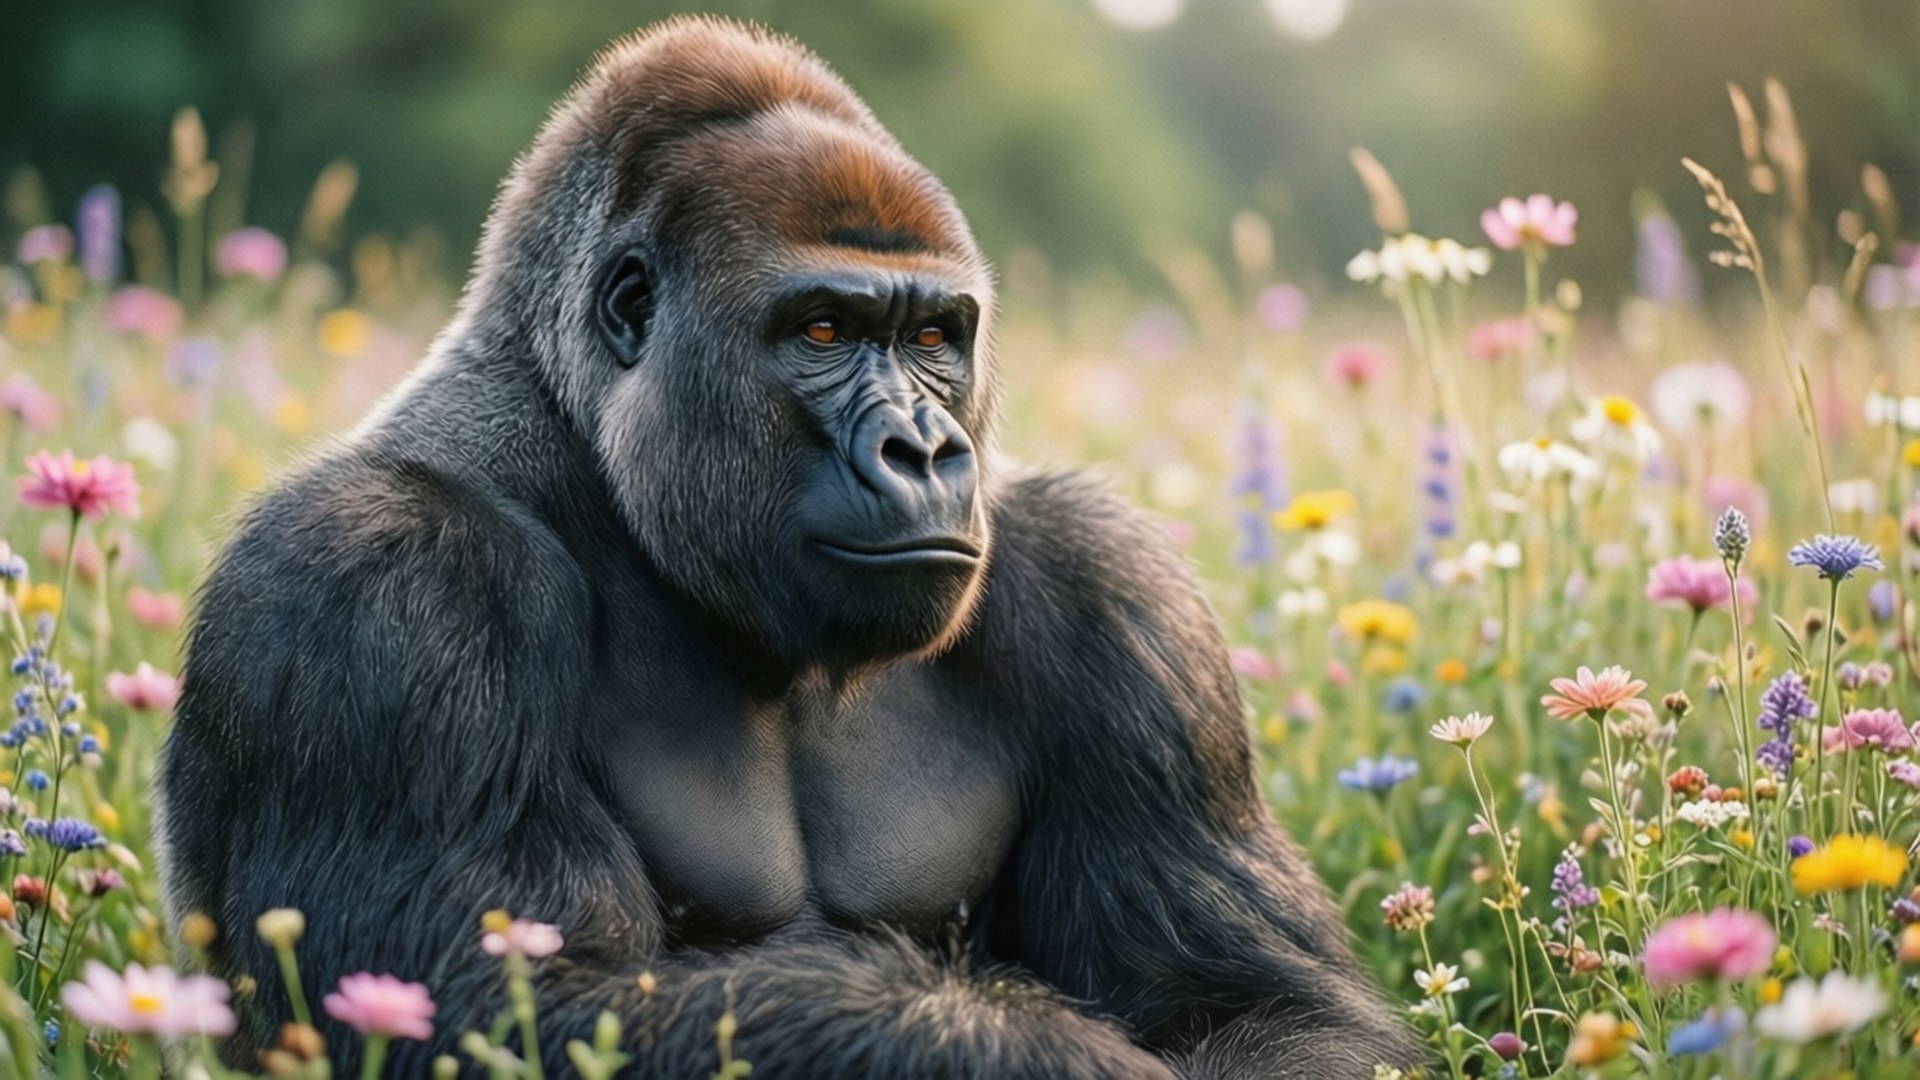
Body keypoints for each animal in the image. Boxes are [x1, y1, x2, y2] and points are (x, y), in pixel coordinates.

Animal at [155, 16, 1419, 1078]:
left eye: (933, 337)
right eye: (822, 330)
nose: (924, 449)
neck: (590, 460)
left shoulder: (1117, 595)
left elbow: (1263, 1007)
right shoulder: (379, 583)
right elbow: (492, 1006)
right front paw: (1040, 1058)